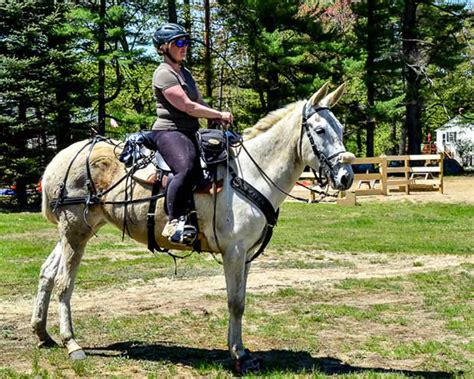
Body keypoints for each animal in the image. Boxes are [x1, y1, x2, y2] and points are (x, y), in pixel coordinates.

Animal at [31, 82, 354, 374]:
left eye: (340, 129)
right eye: (320, 130)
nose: (346, 176)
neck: (250, 174)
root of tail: (60, 158)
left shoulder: (246, 255)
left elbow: (241, 300)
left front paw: (240, 350)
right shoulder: (233, 251)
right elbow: (235, 302)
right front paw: (238, 356)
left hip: (74, 231)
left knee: (47, 272)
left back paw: (42, 333)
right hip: (75, 231)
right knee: (64, 282)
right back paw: (72, 343)